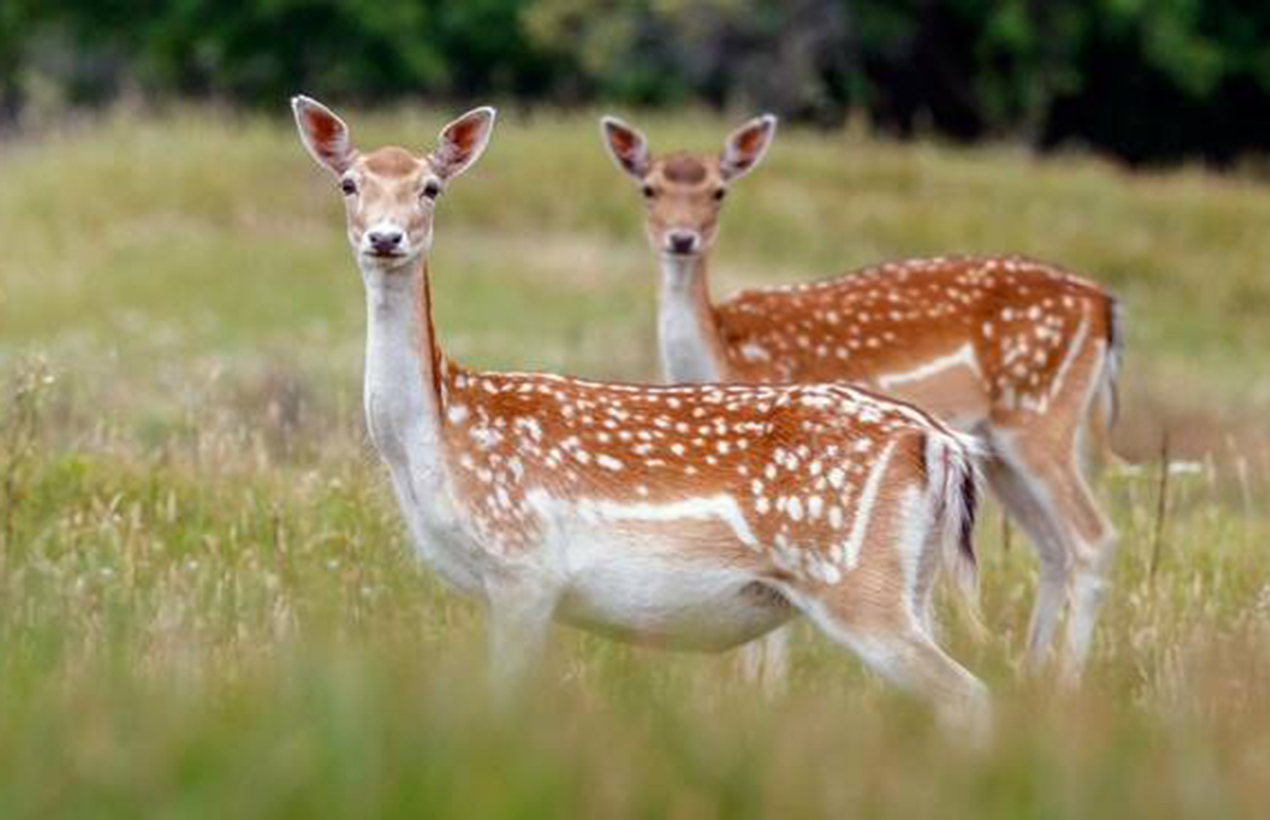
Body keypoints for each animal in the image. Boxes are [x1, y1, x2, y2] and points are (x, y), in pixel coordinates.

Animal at [294, 96, 990, 731]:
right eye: (349, 182)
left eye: (431, 187)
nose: (386, 237)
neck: (436, 441)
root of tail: (941, 443)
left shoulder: (523, 567)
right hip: (913, 582)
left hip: (855, 580)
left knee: (971, 697)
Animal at [601, 112, 1122, 685]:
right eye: (649, 188)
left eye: (719, 190)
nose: (682, 238)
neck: (723, 353)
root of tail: (1104, 305)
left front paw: (767, 690)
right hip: (998, 449)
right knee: (1052, 546)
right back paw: (1032, 675)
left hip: (1040, 416)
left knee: (1092, 538)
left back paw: (1066, 681)